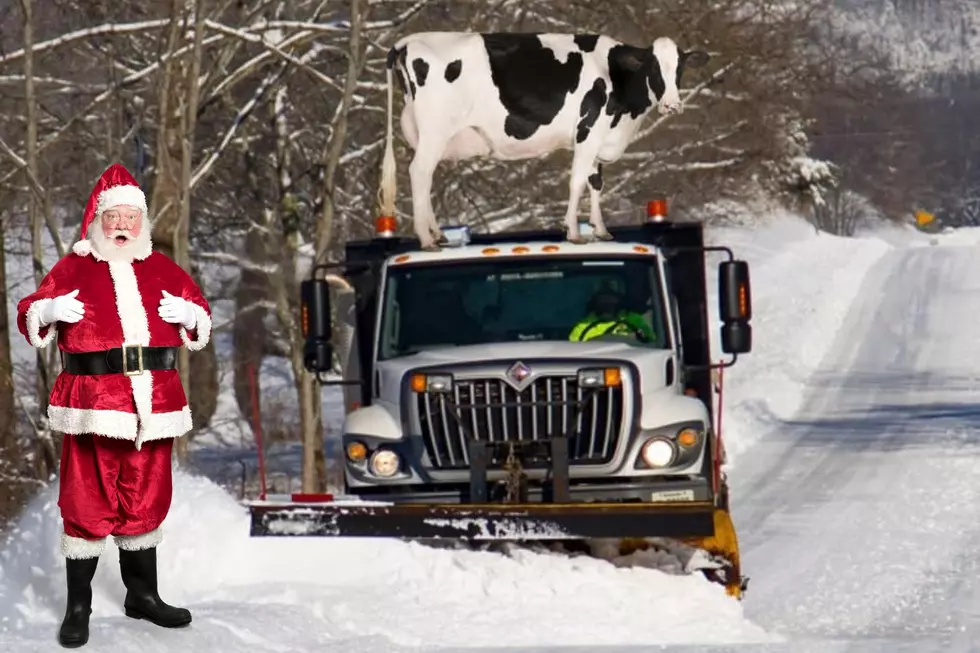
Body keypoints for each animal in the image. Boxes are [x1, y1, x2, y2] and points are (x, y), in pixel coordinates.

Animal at [378, 30, 708, 250]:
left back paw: (437, 234)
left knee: (425, 177)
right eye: (653, 67)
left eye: (679, 68)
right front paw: (573, 232)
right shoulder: (588, 130)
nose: (672, 105)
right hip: (435, 130)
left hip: (426, 135)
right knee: (419, 172)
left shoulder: (599, 138)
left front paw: (601, 230)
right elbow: (577, 181)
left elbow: (596, 183)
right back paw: (426, 239)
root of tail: (407, 41)